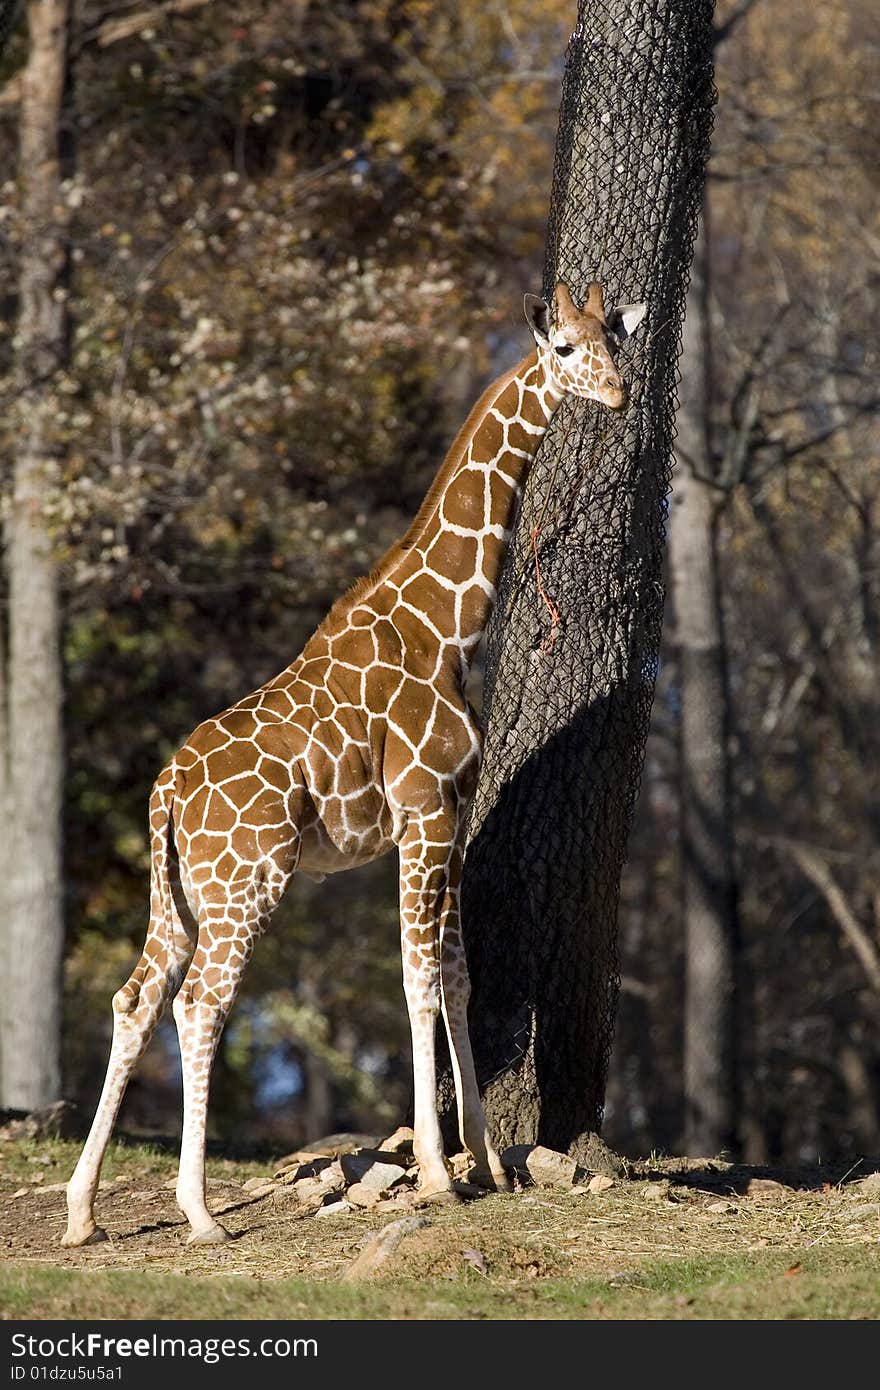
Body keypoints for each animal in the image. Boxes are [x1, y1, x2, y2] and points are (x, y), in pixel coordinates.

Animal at [60, 279, 639, 1251]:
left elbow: (458, 976)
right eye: (563, 347)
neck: (450, 625)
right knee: (198, 1002)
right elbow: (416, 979)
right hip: (248, 879)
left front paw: (488, 1164)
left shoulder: (448, 818)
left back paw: (80, 1212)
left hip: (177, 892)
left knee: (136, 997)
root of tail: (167, 791)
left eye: (612, 339)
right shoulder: (422, 811)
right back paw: (199, 1213)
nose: (621, 393)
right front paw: (439, 1175)